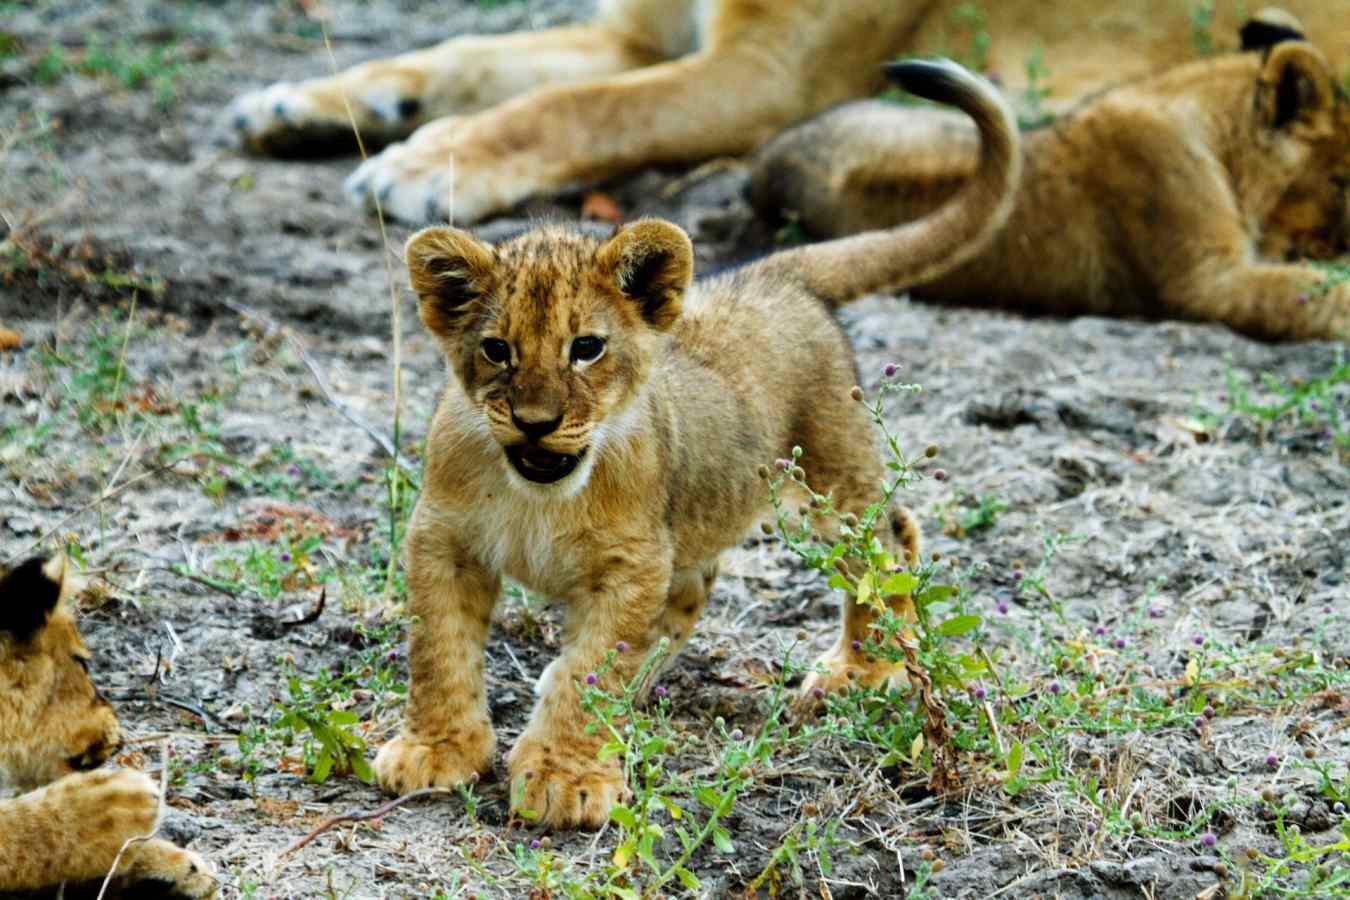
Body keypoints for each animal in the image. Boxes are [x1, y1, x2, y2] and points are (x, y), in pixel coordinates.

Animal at [374, 59, 1018, 830]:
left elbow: (591, 669)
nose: (534, 422)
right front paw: (436, 750)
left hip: (832, 478)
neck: (540, 494)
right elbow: (438, 650)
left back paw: (862, 670)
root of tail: (777, 272)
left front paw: (565, 777)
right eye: (497, 350)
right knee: (701, 586)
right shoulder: (443, 539)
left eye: (586, 348)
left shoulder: (630, 564)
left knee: (888, 542)